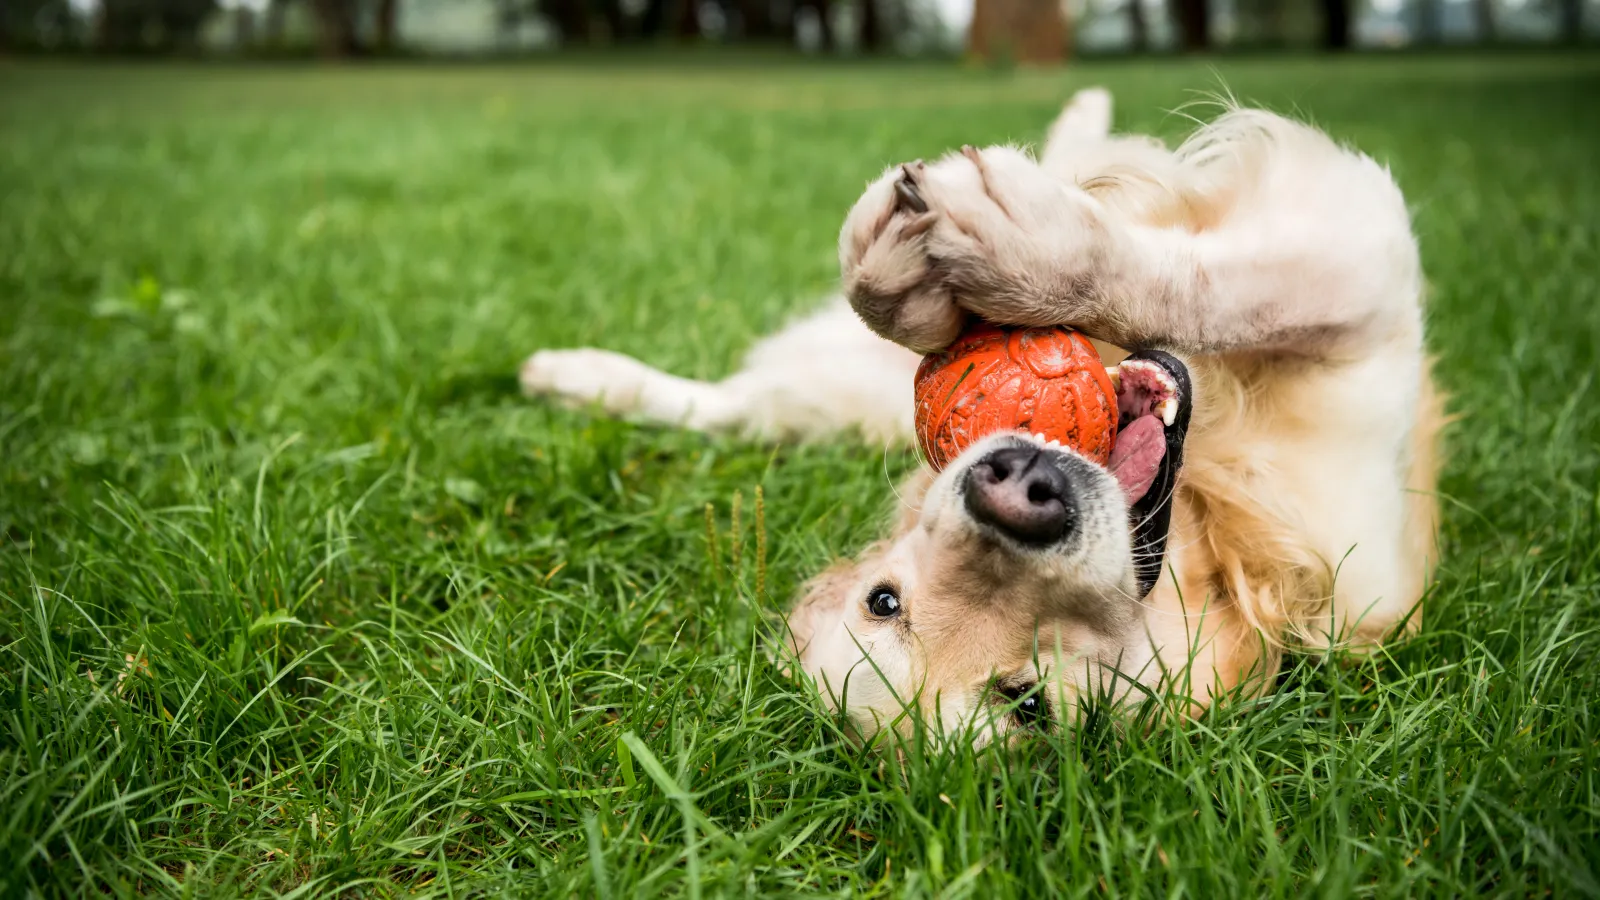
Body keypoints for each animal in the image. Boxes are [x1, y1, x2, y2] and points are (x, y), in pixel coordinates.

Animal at [518, 87, 1446, 739]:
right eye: (1028, 703)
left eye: (881, 601)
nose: (1017, 489)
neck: (1209, 529)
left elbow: (1206, 282)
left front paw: (1004, 253)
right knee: (733, 407)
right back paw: (573, 377)